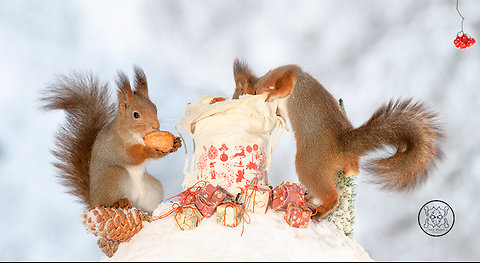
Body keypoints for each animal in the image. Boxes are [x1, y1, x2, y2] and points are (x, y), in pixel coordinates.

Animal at [41, 66, 182, 214]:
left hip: (153, 189)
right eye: (136, 115)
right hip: (113, 176)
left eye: (155, 107)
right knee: (108, 201)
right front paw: (150, 151)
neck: (136, 137)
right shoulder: (117, 146)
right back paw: (118, 203)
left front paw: (175, 144)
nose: (156, 126)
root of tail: (92, 201)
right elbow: (133, 156)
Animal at [231, 59, 444, 219]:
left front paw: (271, 94)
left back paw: (318, 211)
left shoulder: (286, 74)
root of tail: (343, 146)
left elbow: (286, 83)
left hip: (309, 164)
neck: (259, 83)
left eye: (237, 95)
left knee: (332, 196)